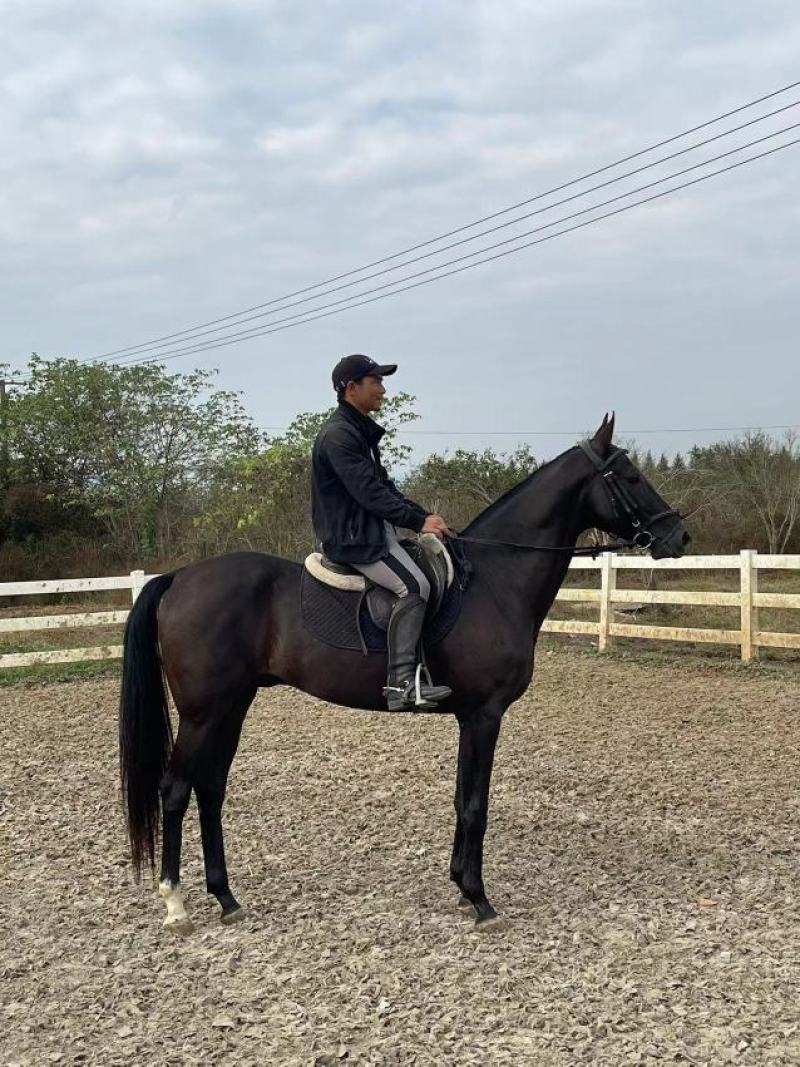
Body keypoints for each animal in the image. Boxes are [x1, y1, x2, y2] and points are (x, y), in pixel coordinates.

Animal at [119, 414, 690, 932]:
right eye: (630, 476)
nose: (679, 535)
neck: (495, 580)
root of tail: (178, 578)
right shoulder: (485, 715)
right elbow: (476, 804)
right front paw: (481, 900)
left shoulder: (469, 717)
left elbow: (461, 798)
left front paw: (460, 885)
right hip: (203, 712)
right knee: (175, 789)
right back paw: (176, 905)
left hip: (232, 706)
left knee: (211, 788)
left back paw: (227, 898)